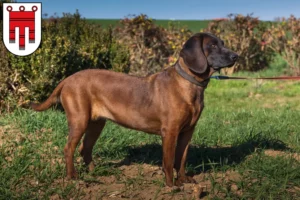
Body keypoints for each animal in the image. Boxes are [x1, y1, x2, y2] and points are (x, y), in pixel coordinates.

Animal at [30, 32, 237, 188]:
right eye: (213, 46)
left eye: (223, 43)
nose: (236, 56)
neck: (189, 84)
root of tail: (68, 79)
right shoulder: (170, 132)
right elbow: (169, 161)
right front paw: (171, 186)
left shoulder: (187, 131)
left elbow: (182, 158)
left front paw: (184, 180)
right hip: (79, 120)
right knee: (69, 149)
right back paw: (73, 177)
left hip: (96, 124)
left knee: (85, 148)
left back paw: (95, 172)